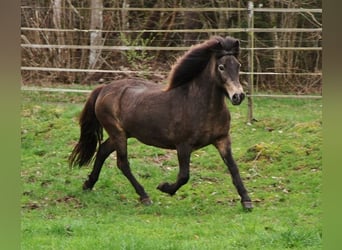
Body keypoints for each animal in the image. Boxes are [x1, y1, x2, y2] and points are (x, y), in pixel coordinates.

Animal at [69, 36, 254, 210]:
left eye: (238, 66)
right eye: (221, 67)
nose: (238, 96)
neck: (199, 105)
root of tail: (103, 89)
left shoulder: (222, 140)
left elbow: (233, 168)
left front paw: (247, 201)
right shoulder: (183, 145)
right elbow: (184, 176)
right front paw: (164, 187)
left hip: (123, 134)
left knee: (102, 151)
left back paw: (88, 184)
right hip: (117, 133)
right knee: (122, 163)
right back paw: (144, 196)